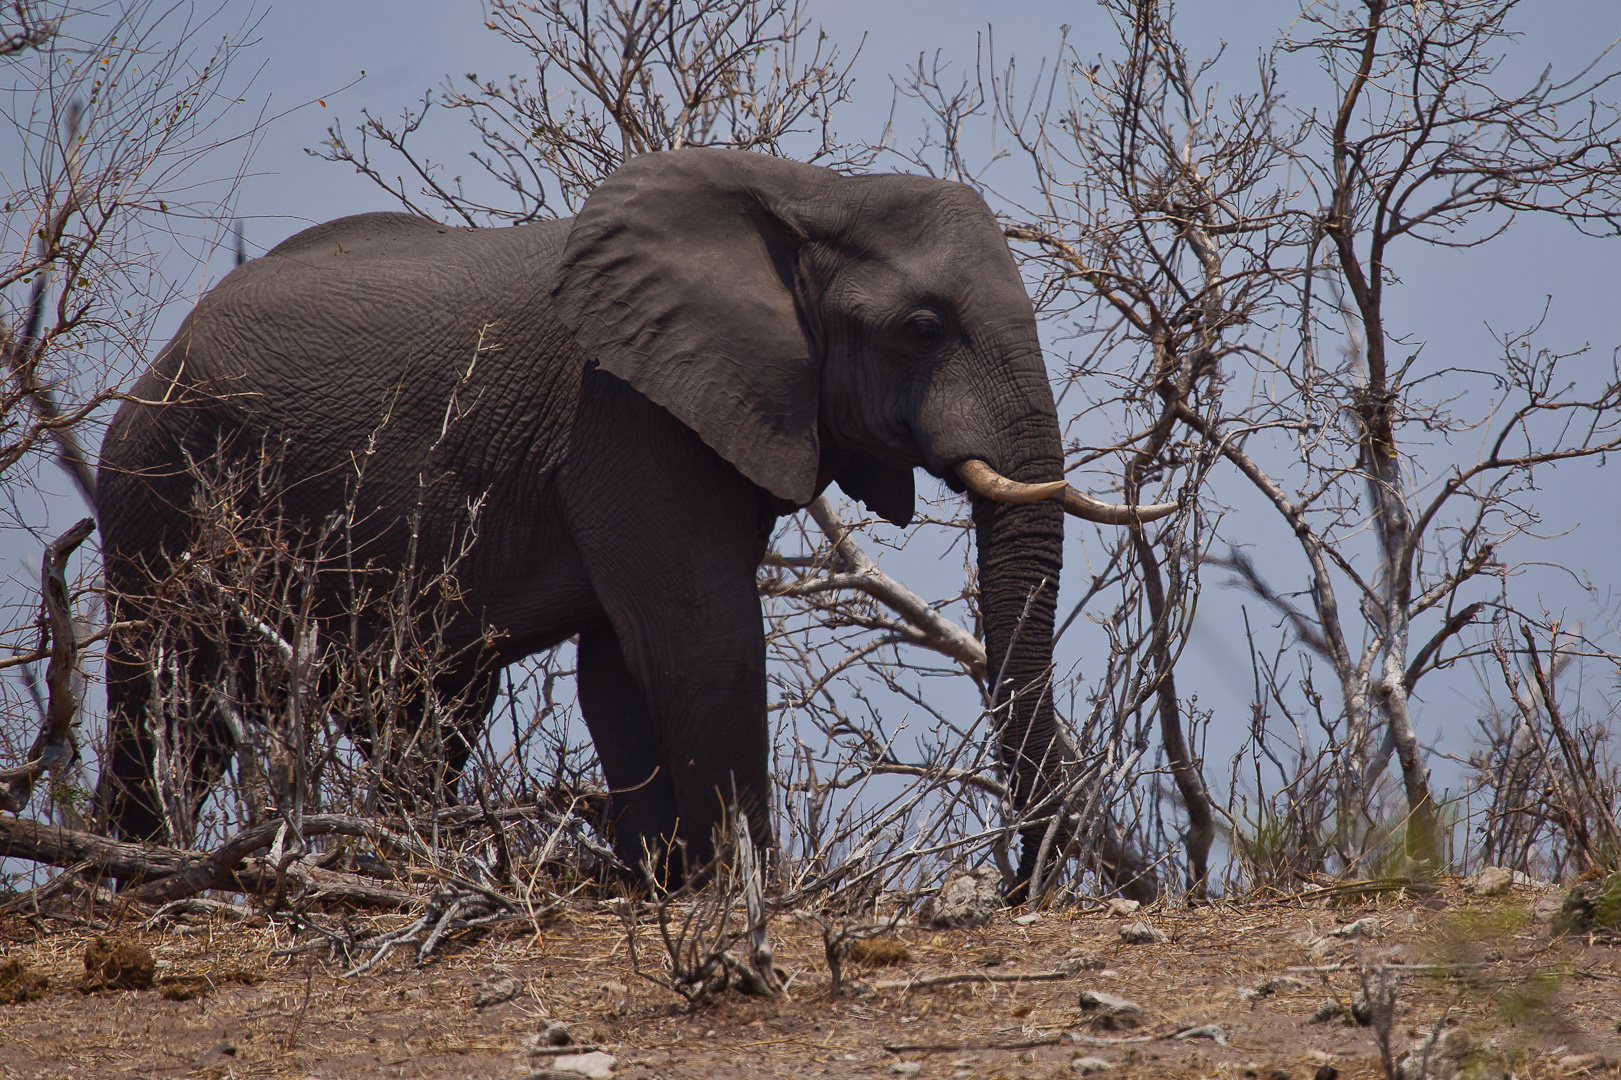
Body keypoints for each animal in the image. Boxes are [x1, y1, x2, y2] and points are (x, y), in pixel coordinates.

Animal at [94, 145, 1173, 882]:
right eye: (921, 329)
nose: (1021, 885)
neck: (805, 189)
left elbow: (620, 663)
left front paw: (666, 884)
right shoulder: (625, 410)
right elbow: (702, 635)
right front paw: (751, 890)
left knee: (410, 710)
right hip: (156, 483)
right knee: (162, 690)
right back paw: (131, 877)